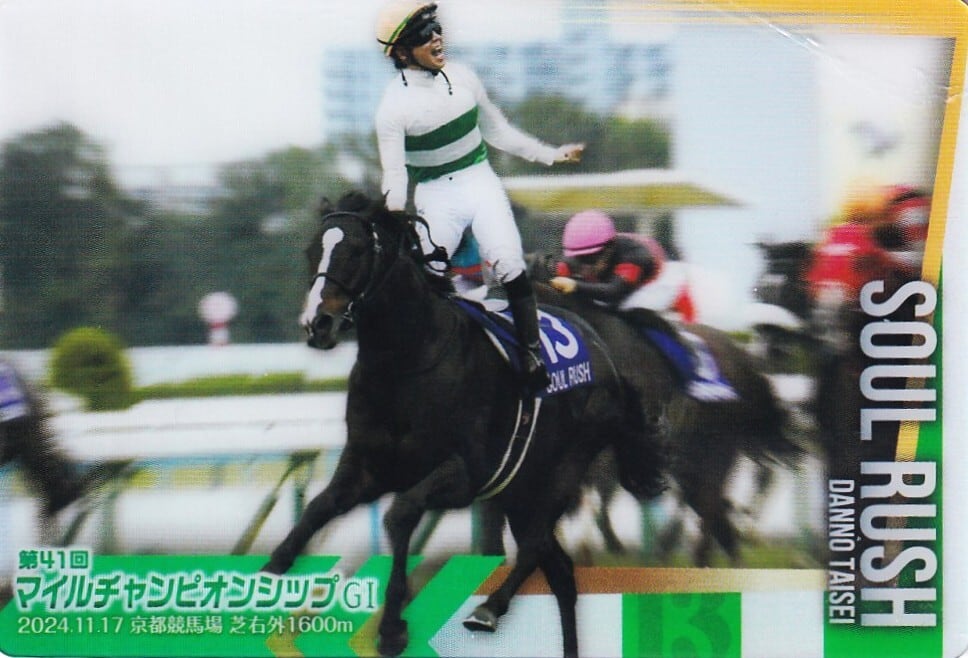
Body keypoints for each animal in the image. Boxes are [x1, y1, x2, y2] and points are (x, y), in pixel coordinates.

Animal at [261, 192, 665, 658]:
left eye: (357, 251)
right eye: (313, 250)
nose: (318, 324)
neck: (405, 361)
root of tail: (603, 351)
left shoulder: (465, 473)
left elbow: (400, 515)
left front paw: (392, 628)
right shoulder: (367, 466)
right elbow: (318, 507)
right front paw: (269, 571)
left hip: (562, 470)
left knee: (535, 546)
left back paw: (487, 610)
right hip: (518, 489)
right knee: (561, 572)